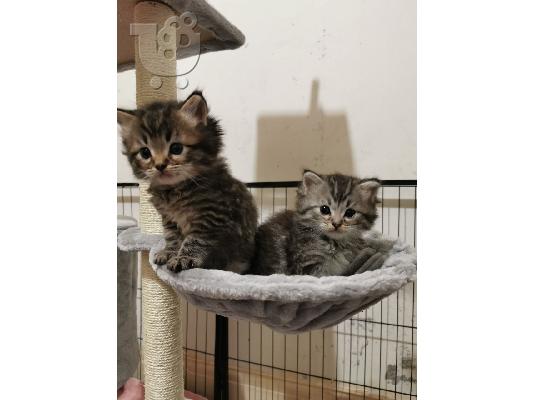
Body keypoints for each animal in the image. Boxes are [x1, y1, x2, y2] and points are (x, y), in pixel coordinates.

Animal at [117, 91, 258, 273]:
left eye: (176, 148)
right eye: (145, 153)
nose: (160, 165)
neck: (175, 190)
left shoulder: (211, 216)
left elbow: (194, 241)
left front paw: (184, 258)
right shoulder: (169, 219)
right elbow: (172, 237)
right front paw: (169, 253)